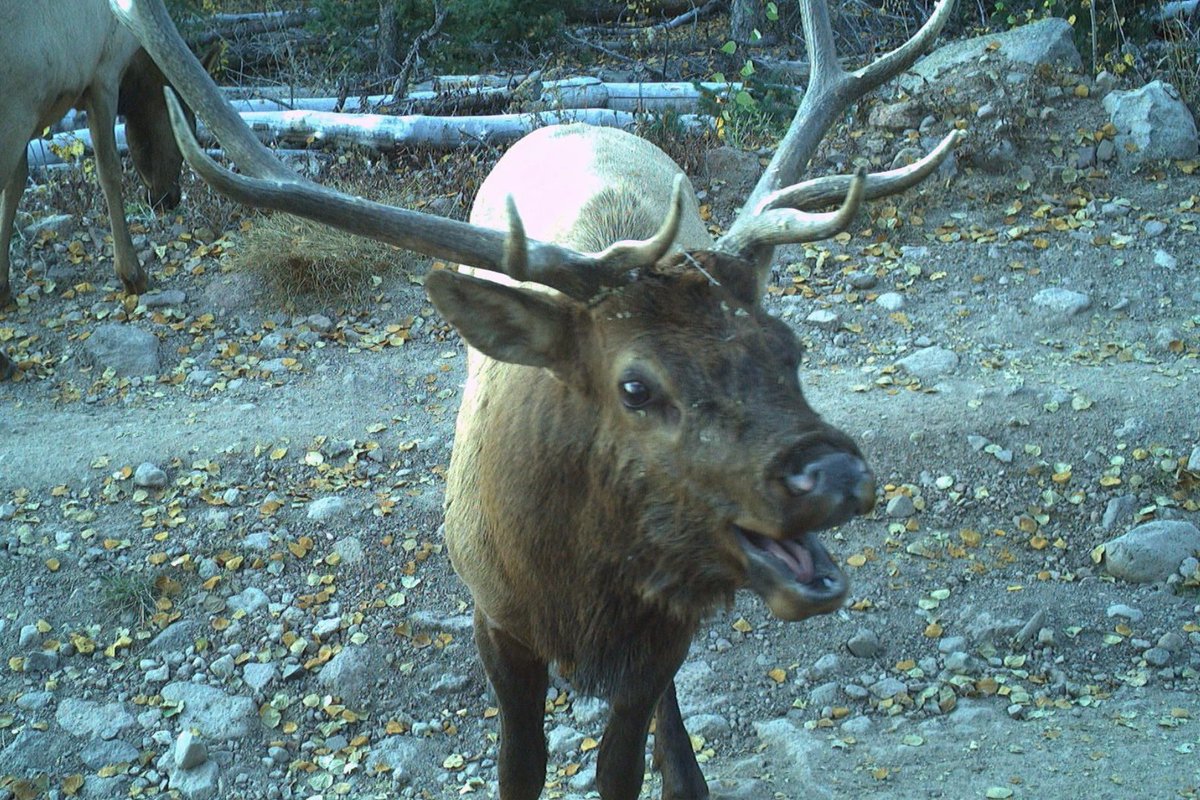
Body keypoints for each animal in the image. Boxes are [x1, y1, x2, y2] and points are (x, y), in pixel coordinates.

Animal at [0, 0, 204, 317]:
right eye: (188, 126)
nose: (171, 197)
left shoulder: (30, 116)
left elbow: (15, 186)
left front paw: (3, 285)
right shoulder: (103, 76)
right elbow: (109, 170)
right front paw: (132, 274)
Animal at [110, 0, 960, 796]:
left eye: (790, 348)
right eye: (635, 385)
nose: (835, 474)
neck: (579, 588)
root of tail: (573, 118)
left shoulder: (662, 631)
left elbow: (619, 766)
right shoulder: (494, 616)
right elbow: (520, 766)